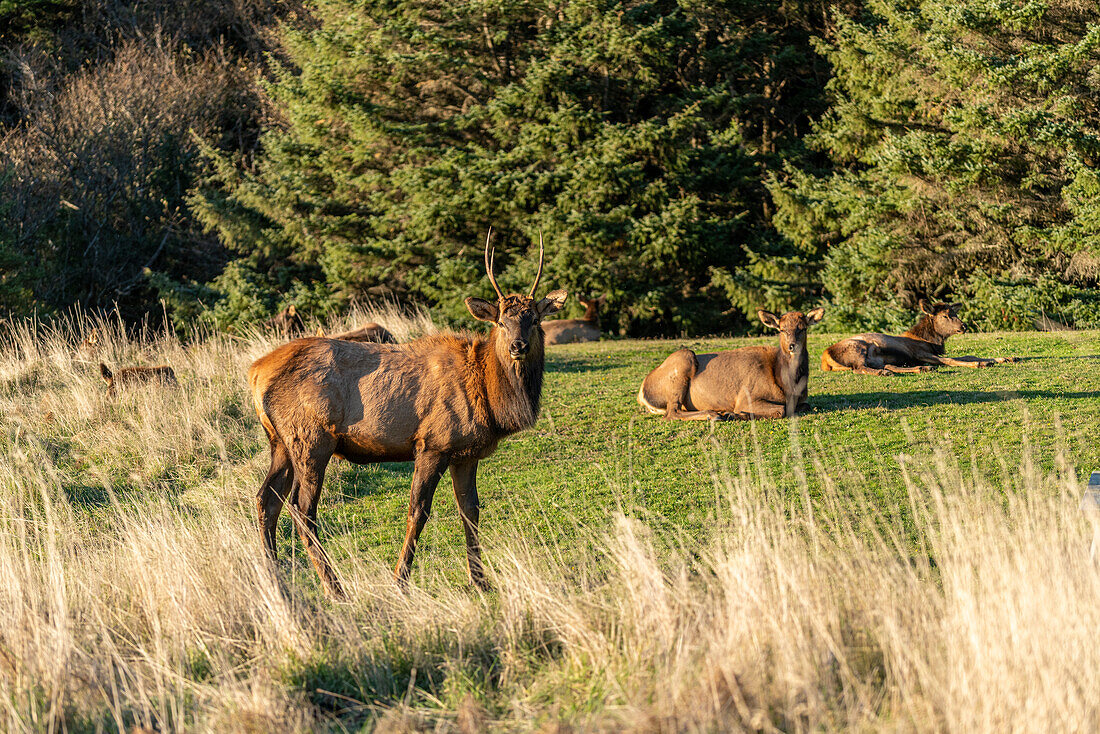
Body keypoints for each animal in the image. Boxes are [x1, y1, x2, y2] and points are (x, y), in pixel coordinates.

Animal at [248, 231, 567, 598]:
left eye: (535, 319)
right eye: (501, 321)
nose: (518, 346)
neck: (490, 398)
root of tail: (255, 372)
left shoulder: (466, 452)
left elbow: (470, 511)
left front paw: (481, 581)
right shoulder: (433, 443)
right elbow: (419, 511)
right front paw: (400, 581)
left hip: (280, 442)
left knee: (266, 500)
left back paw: (276, 579)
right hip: (311, 440)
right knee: (301, 509)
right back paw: (335, 588)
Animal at [638, 310, 827, 422]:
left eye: (803, 328)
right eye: (781, 329)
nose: (792, 346)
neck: (787, 386)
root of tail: (642, 393)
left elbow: (805, 405)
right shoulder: (747, 395)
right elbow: (781, 410)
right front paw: (734, 413)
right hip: (684, 359)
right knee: (672, 412)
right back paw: (713, 414)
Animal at [822, 299, 1016, 376]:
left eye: (955, 313)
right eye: (945, 316)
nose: (963, 326)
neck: (931, 342)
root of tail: (825, 359)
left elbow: (967, 355)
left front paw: (1007, 358)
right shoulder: (919, 353)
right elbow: (952, 360)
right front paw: (980, 363)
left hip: (877, 358)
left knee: (888, 365)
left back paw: (922, 369)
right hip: (858, 348)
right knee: (858, 368)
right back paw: (883, 373)